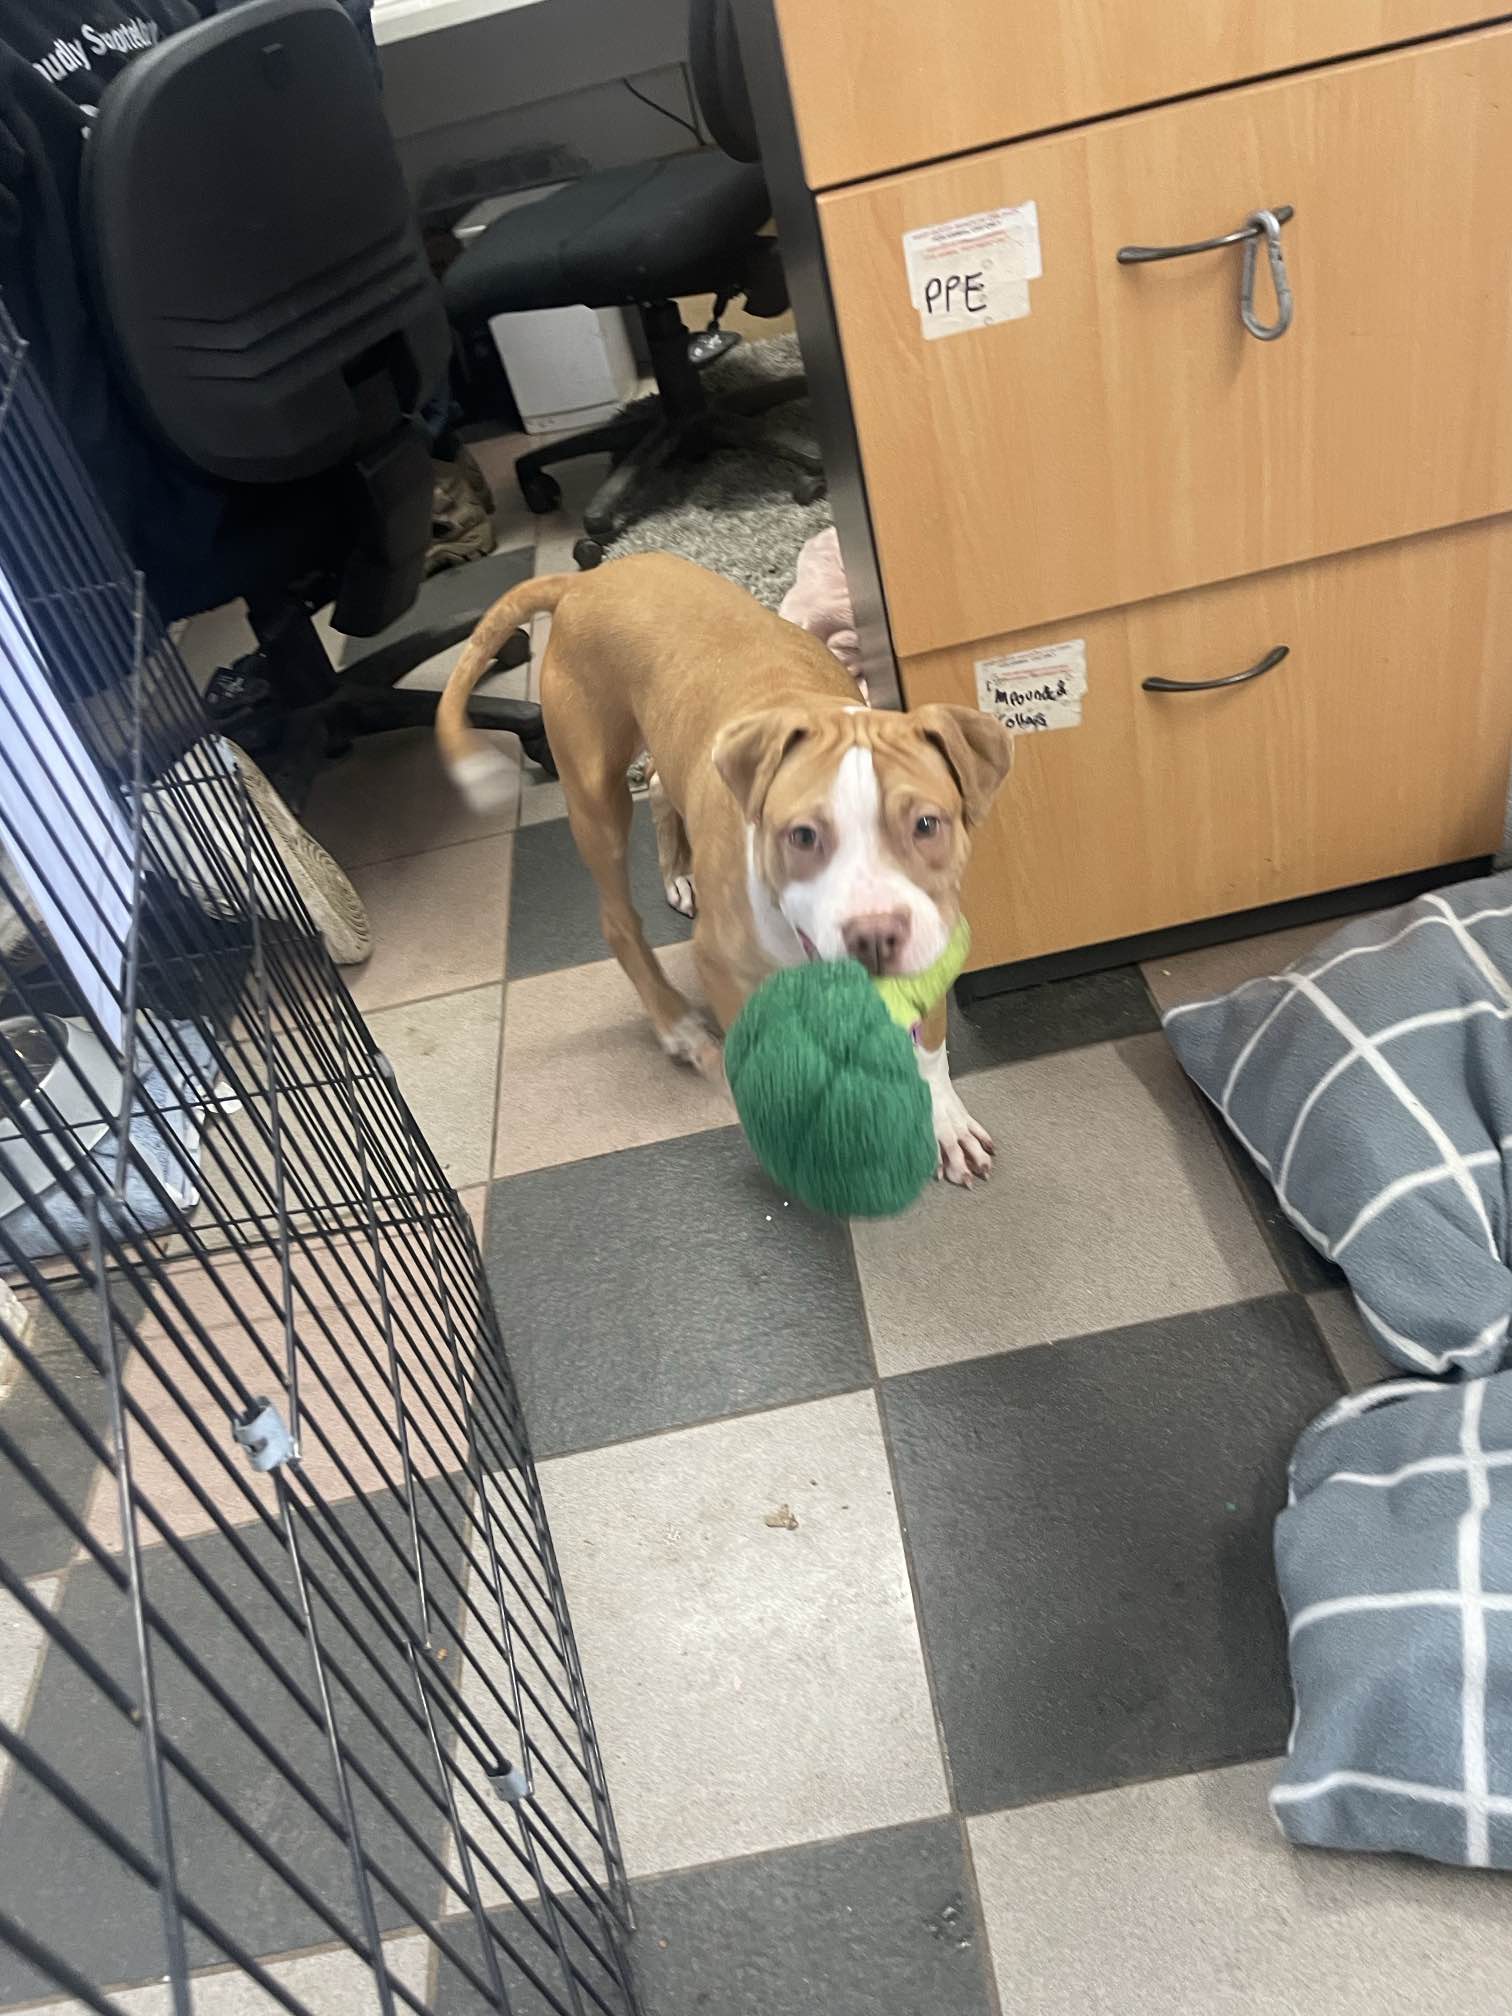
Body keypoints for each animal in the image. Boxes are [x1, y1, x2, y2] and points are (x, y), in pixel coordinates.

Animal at [437, 553, 1013, 1185]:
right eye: (803, 836)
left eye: (927, 824)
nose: (875, 936)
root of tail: (585, 580)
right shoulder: (719, 965)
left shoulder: (935, 935)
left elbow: (929, 1044)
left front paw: (945, 1123)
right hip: (594, 798)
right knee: (619, 920)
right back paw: (678, 1026)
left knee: (659, 782)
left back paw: (679, 873)